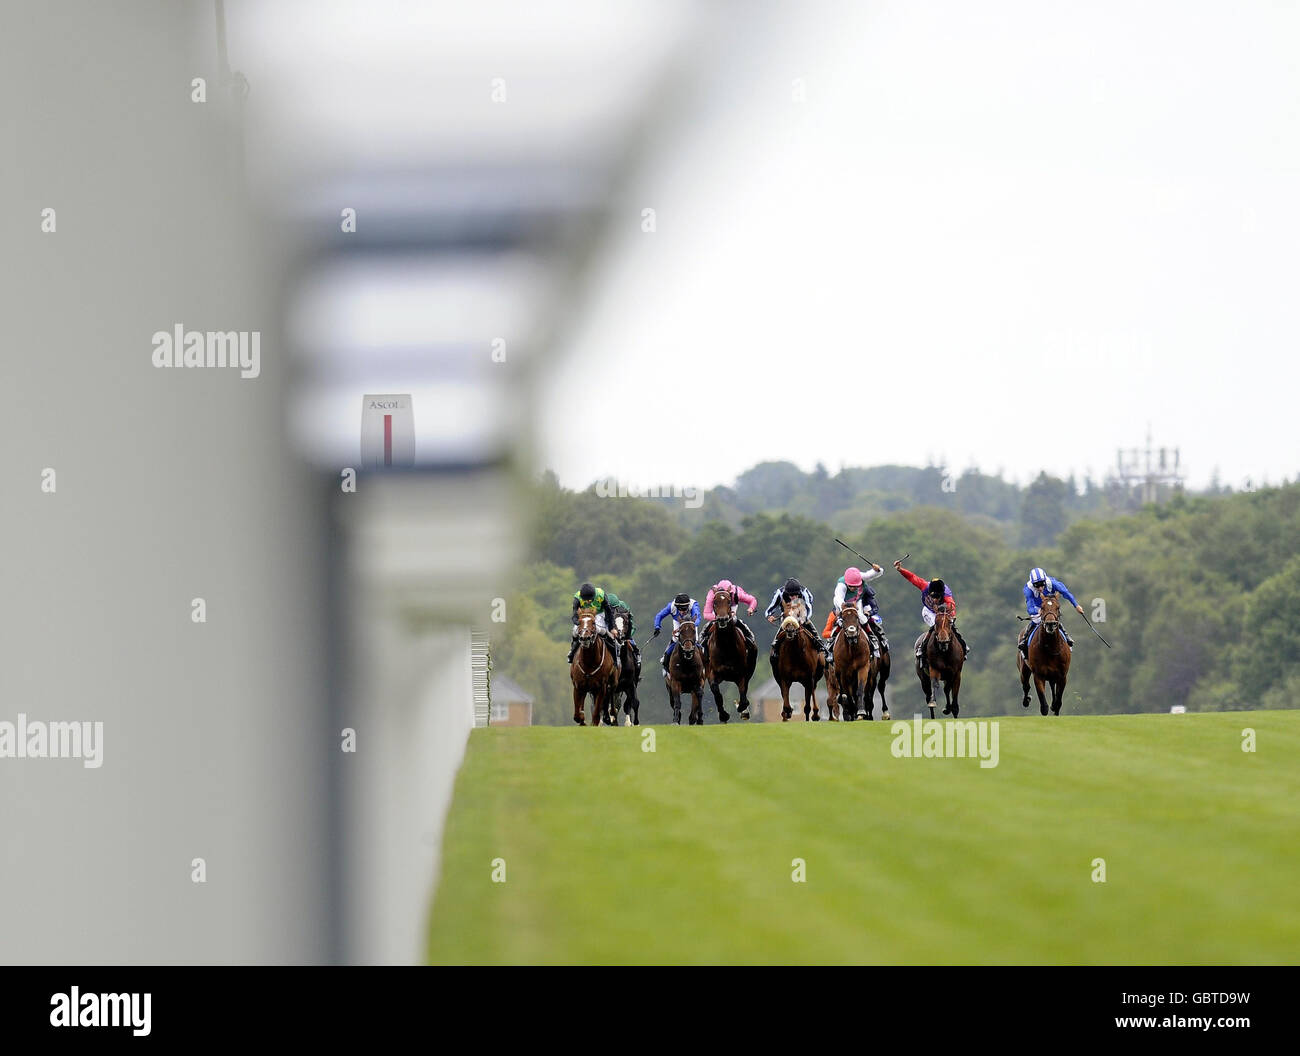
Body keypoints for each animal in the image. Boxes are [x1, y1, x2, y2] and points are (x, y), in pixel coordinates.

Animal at [707, 590, 759, 723]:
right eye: (714, 602)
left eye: (729, 601)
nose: (722, 619)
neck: (726, 646)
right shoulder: (713, 673)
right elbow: (716, 691)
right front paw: (723, 715)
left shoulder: (741, 674)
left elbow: (743, 694)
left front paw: (742, 708)